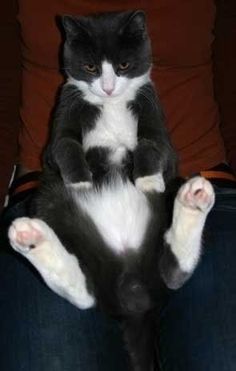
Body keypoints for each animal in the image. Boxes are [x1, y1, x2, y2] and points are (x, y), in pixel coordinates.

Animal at [7, 10, 214, 371]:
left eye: (123, 65)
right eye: (90, 67)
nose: (107, 87)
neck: (113, 104)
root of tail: (132, 289)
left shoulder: (153, 113)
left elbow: (152, 144)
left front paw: (147, 180)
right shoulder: (64, 110)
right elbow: (65, 145)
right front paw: (80, 182)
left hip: (169, 196)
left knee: (173, 271)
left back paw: (193, 199)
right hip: (48, 199)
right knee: (87, 292)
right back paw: (31, 237)